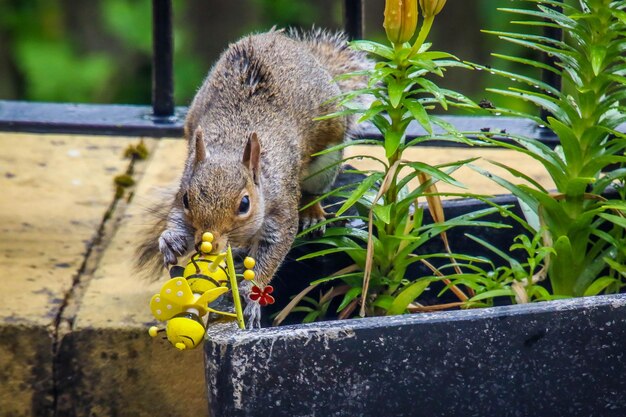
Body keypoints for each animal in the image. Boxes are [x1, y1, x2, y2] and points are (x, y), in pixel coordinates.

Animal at [135, 30, 370, 328]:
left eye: (244, 204)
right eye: (188, 199)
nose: (205, 243)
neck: (231, 146)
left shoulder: (280, 206)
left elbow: (273, 248)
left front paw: (251, 295)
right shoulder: (185, 183)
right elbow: (176, 217)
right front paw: (170, 241)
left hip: (327, 159)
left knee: (313, 191)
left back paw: (312, 213)